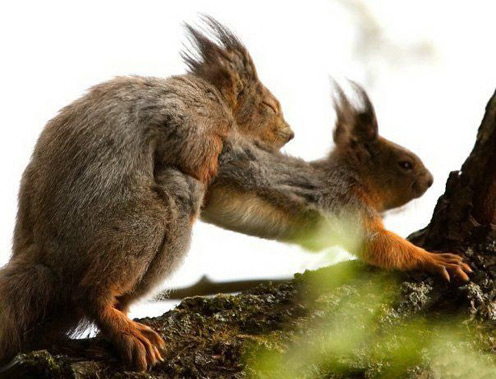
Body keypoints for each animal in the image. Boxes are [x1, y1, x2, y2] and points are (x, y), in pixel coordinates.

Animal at [0, 17, 292, 372]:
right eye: (268, 106)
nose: (290, 134)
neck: (214, 96)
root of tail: (46, 258)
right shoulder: (197, 115)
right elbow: (190, 152)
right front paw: (209, 167)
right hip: (137, 224)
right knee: (92, 292)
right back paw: (118, 322)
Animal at [202, 83, 472, 284]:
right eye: (405, 164)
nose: (430, 180)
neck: (353, 178)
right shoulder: (344, 201)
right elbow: (374, 241)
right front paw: (434, 260)